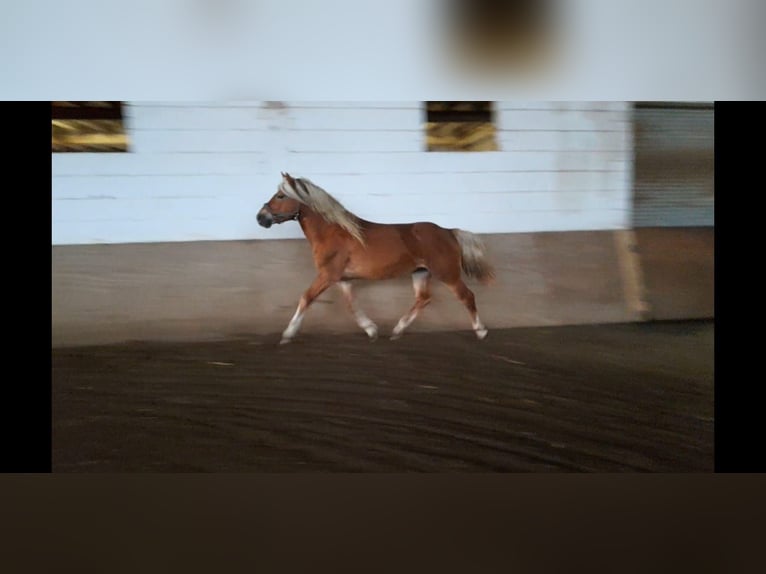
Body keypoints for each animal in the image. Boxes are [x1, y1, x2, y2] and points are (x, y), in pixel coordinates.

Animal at [258, 173, 498, 344]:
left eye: (280, 195)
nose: (261, 217)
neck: (332, 231)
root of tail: (448, 231)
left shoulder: (328, 275)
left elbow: (306, 298)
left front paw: (287, 334)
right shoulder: (343, 279)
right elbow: (351, 304)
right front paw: (371, 330)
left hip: (447, 273)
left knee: (467, 296)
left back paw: (481, 331)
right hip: (420, 273)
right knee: (423, 299)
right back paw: (397, 331)